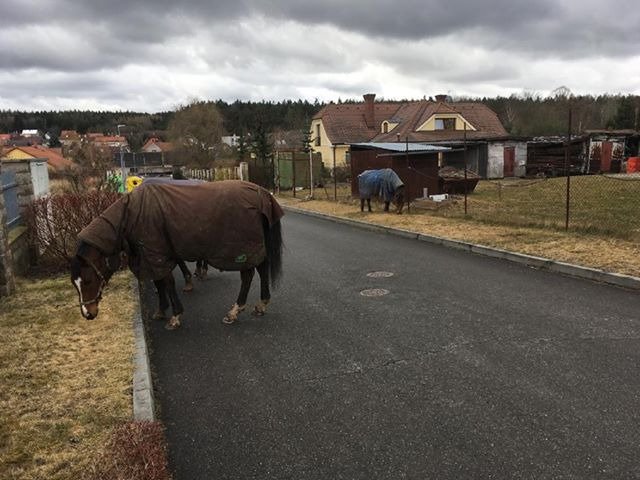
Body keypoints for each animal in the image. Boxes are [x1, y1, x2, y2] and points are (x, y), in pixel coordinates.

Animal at [68, 180, 284, 330]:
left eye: (88, 280)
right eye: (74, 283)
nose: (88, 314)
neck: (129, 216)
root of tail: (262, 193)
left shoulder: (156, 254)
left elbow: (167, 283)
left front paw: (175, 316)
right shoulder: (153, 256)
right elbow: (159, 283)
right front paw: (161, 310)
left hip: (243, 249)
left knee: (248, 275)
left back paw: (234, 311)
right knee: (261, 269)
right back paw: (261, 305)